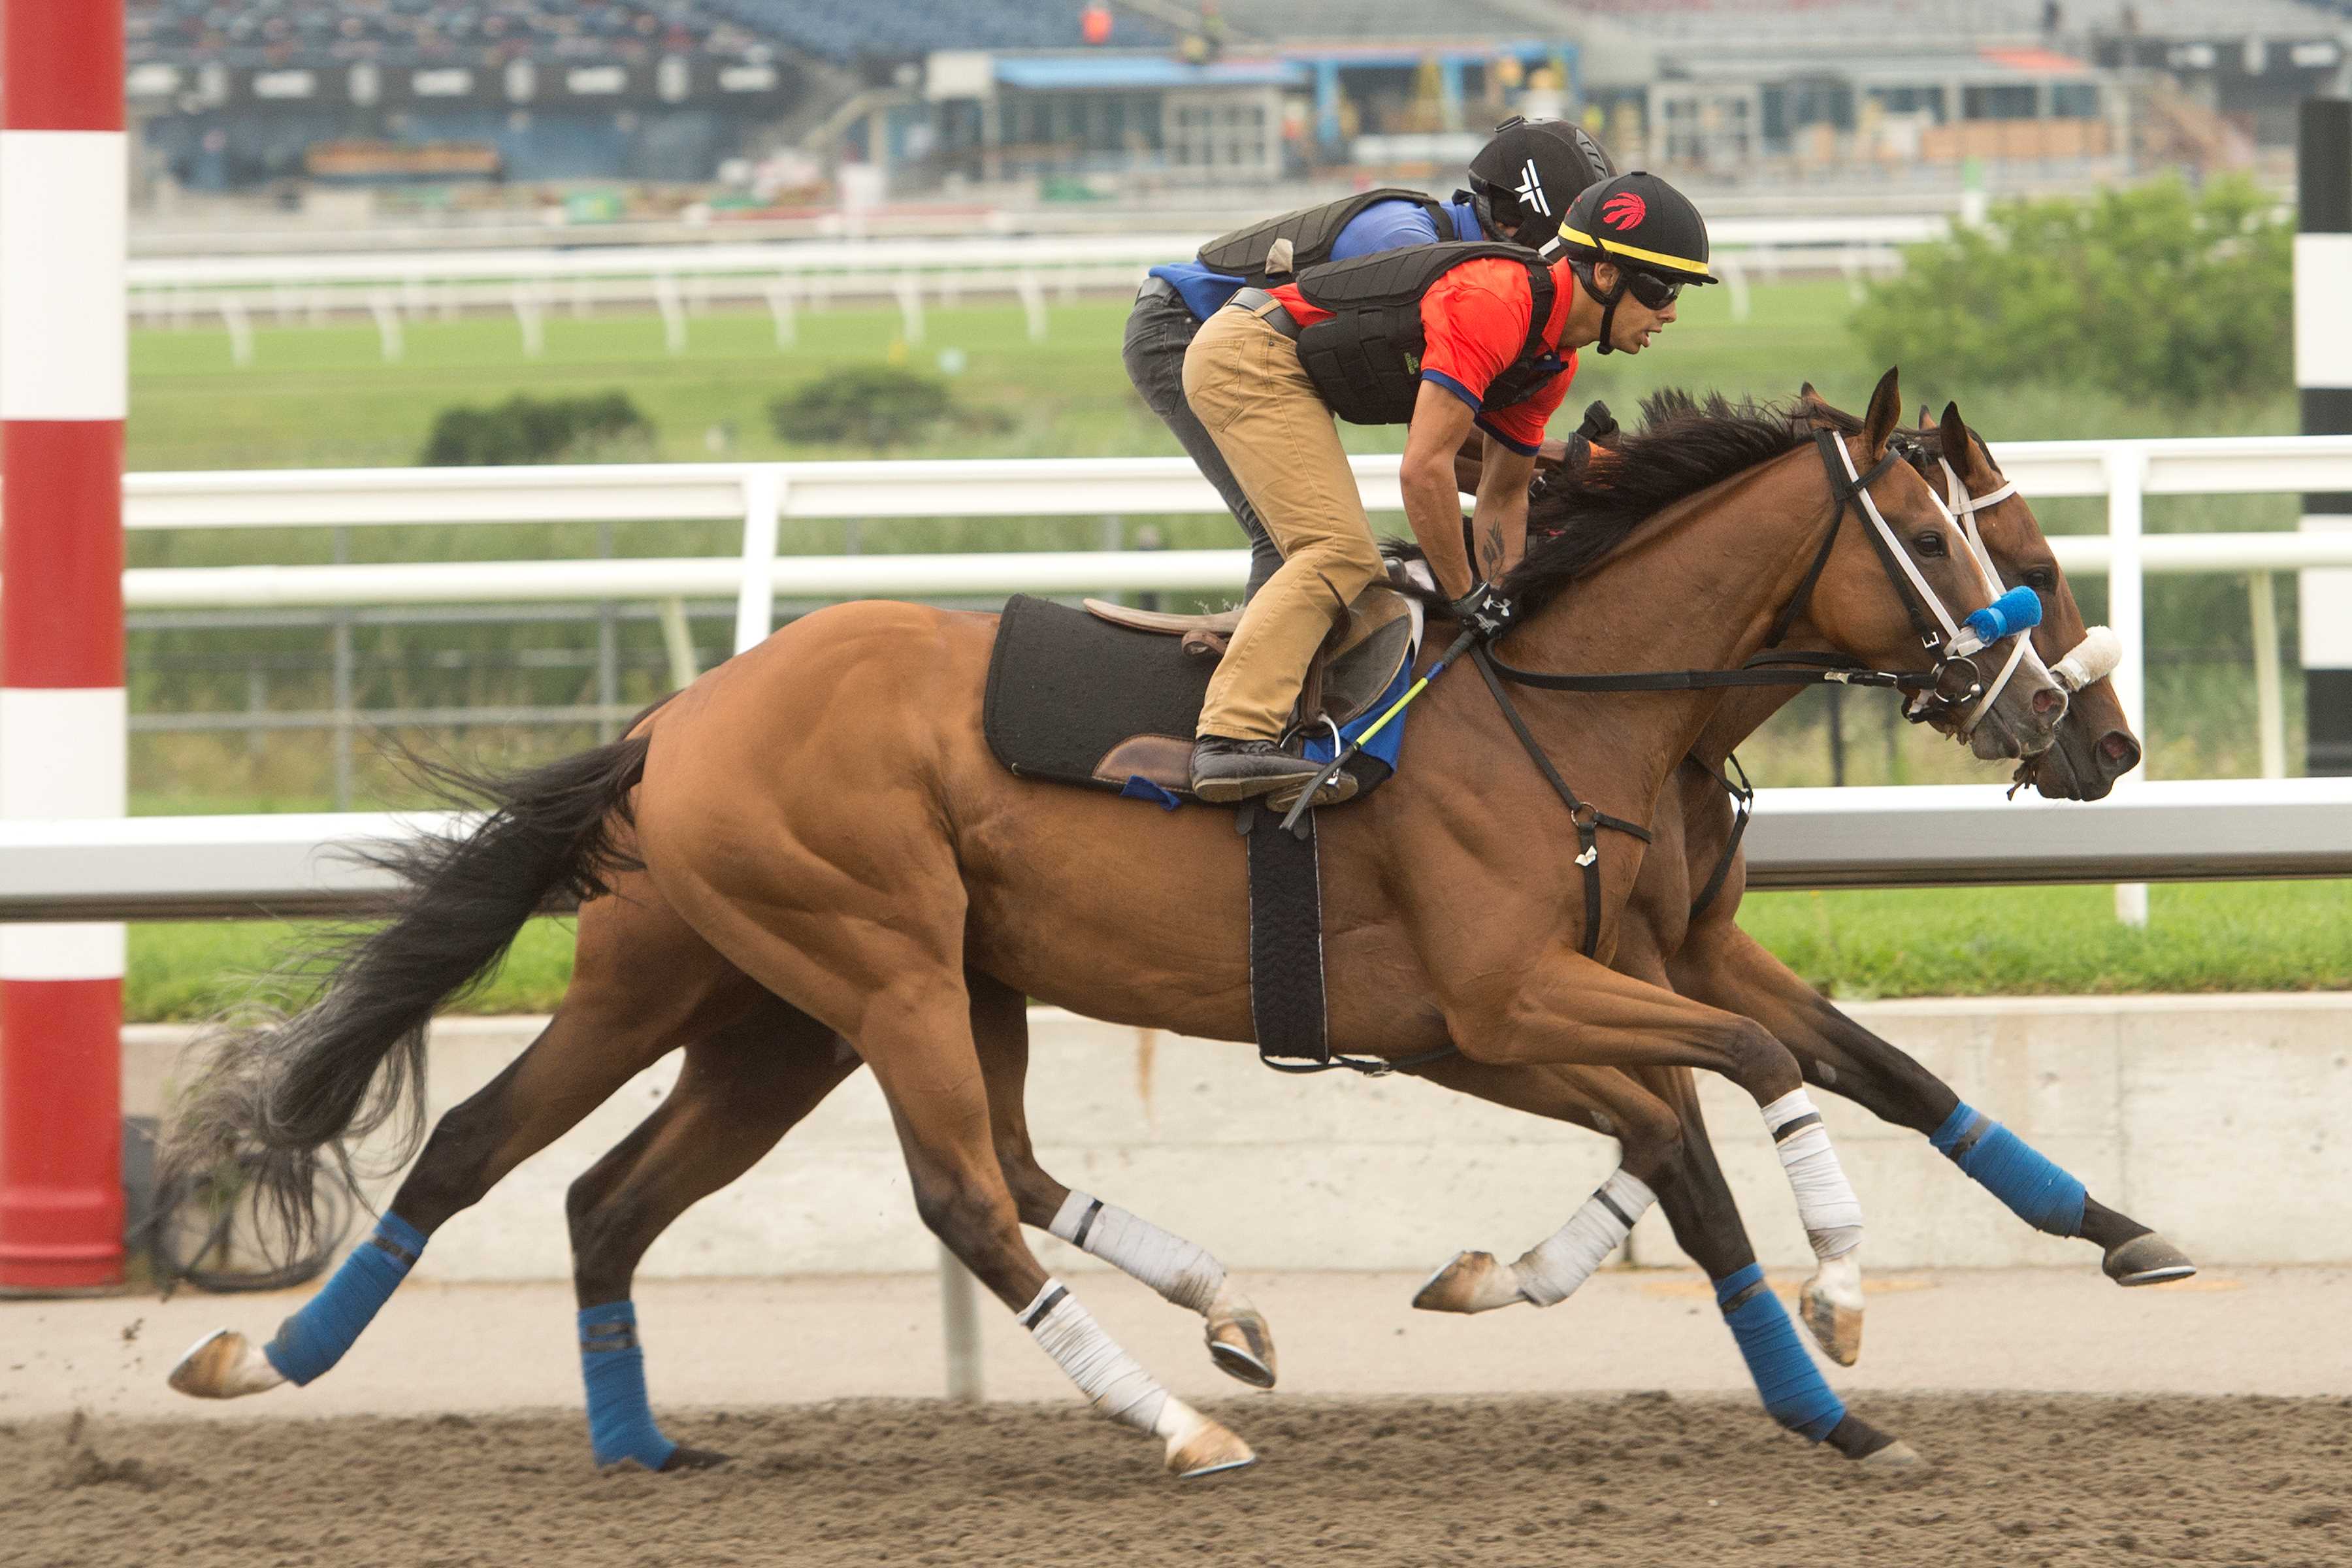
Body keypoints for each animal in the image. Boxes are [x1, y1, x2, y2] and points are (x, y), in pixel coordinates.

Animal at [161, 374, 2060, 1476]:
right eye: (1947, 533)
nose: (2061, 716)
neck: (1554, 704)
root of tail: (676, 718)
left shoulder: (1534, 1010)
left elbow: (1706, 1120)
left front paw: (1839, 1373)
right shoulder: (1511, 1001)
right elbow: (1735, 1085)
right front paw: (1838, 1327)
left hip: (753, 1003)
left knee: (540, 1165)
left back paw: (392, 1382)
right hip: (876, 964)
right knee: (954, 1188)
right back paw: (1178, 1419)